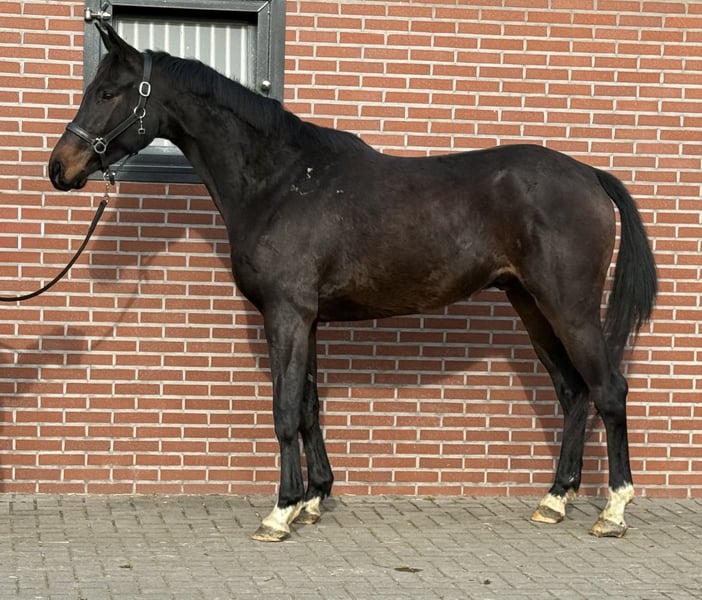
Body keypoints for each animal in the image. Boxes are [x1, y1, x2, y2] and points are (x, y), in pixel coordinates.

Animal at [49, 25, 656, 542]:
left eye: (107, 92)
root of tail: (589, 175)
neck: (280, 180)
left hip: (569, 306)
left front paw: (280, 511)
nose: (60, 168)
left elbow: (285, 409)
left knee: (608, 389)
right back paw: (555, 499)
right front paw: (313, 499)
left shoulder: (287, 314)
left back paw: (613, 510)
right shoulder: (307, 318)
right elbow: (309, 407)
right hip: (531, 305)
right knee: (573, 391)